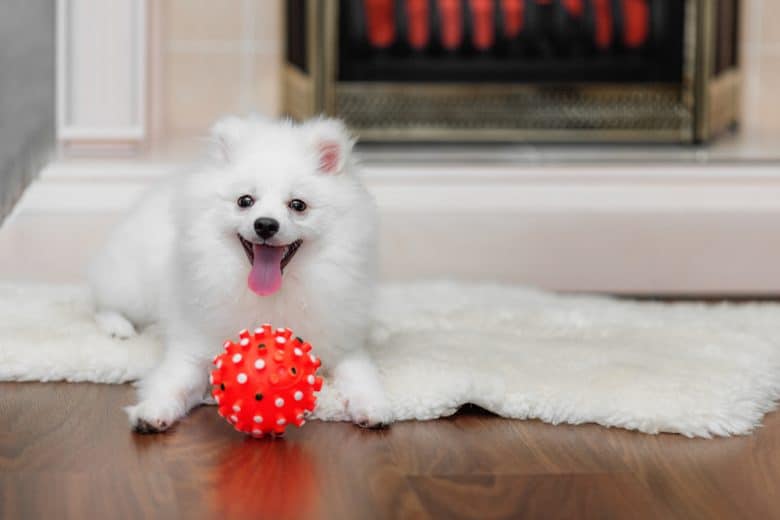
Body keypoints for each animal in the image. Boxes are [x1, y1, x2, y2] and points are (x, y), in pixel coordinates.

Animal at [88, 116, 394, 432]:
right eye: (244, 201)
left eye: (298, 205)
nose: (266, 224)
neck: (273, 295)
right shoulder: (193, 347)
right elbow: (173, 383)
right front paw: (152, 411)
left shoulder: (344, 347)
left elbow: (361, 376)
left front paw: (372, 407)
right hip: (131, 289)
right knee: (101, 304)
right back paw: (119, 328)